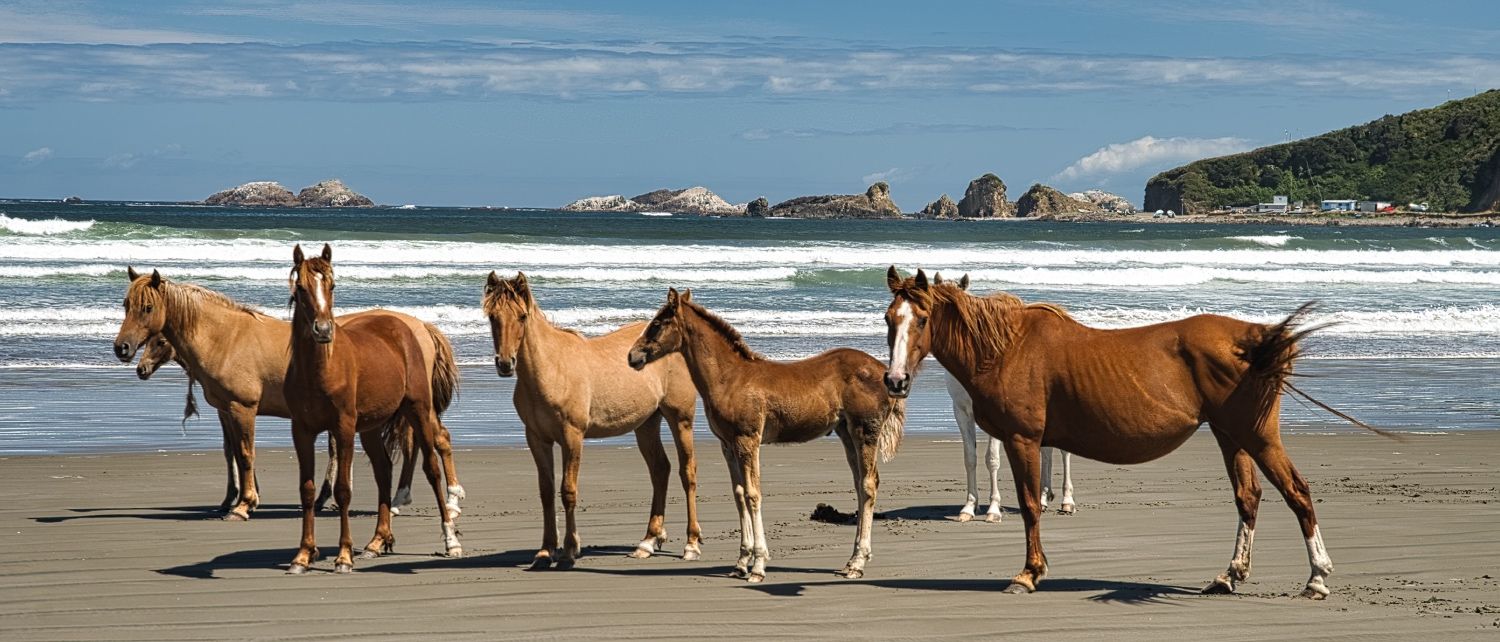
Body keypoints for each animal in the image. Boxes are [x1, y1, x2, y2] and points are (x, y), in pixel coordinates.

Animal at [113, 268, 464, 521]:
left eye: (147, 308)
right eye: (126, 305)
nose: (123, 350)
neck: (225, 338)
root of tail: (420, 327)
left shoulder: (243, 407)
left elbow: (245, 453)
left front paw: (244, 504)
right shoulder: (226, 410)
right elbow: (232, 453)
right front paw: (234, 499)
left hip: (415, 404)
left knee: (438, 438)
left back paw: (451, 498)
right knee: (416, 443)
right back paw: (398, 498)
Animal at [283, 243, 461, 573]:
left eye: (332, 285)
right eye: (300, 288)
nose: (323, 330)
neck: (321, 369)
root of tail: (411, 326)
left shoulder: (343, 427)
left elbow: (343, 489)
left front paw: (343, 556)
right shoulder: (302, 430)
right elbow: (307, 489)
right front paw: (302, 555)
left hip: (417, 409)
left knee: (432, 467)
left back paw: (451, 539)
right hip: (372, 426)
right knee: (384, 471)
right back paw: (377, 542)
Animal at [484, 271, 702, 569]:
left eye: (522, 316)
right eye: (492, 316)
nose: (505, 363)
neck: (551, 369)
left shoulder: (572, 437)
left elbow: (568, 491)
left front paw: (569, 551)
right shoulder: (537, 439)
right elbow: (546, 492)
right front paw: (545, 552)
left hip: (681, 419)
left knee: (686, 472)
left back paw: (691, 544)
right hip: (646, 424)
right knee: (660, 470)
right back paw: (647, 542)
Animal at [628, 288, 905, 583]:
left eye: (658, 323)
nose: (632, 356)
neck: (730, 378)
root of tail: (885, 374)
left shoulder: (748, 439)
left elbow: (753, 494)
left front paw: (758, 565)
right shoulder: (728, 445)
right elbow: (739, 494)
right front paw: (741, 561)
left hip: (866, 430)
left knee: (868, 484)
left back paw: (858, 562)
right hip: (846, 433)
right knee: (860, 485)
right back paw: (851, 560)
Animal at [935, 273, 1076, 522]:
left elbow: (992, 459)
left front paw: (993, 509)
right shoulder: (961, 411)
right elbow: (970, 458)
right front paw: (969, 508)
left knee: (1064, 452)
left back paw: (1067, 501)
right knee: (1046, 450)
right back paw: (1043, 497)